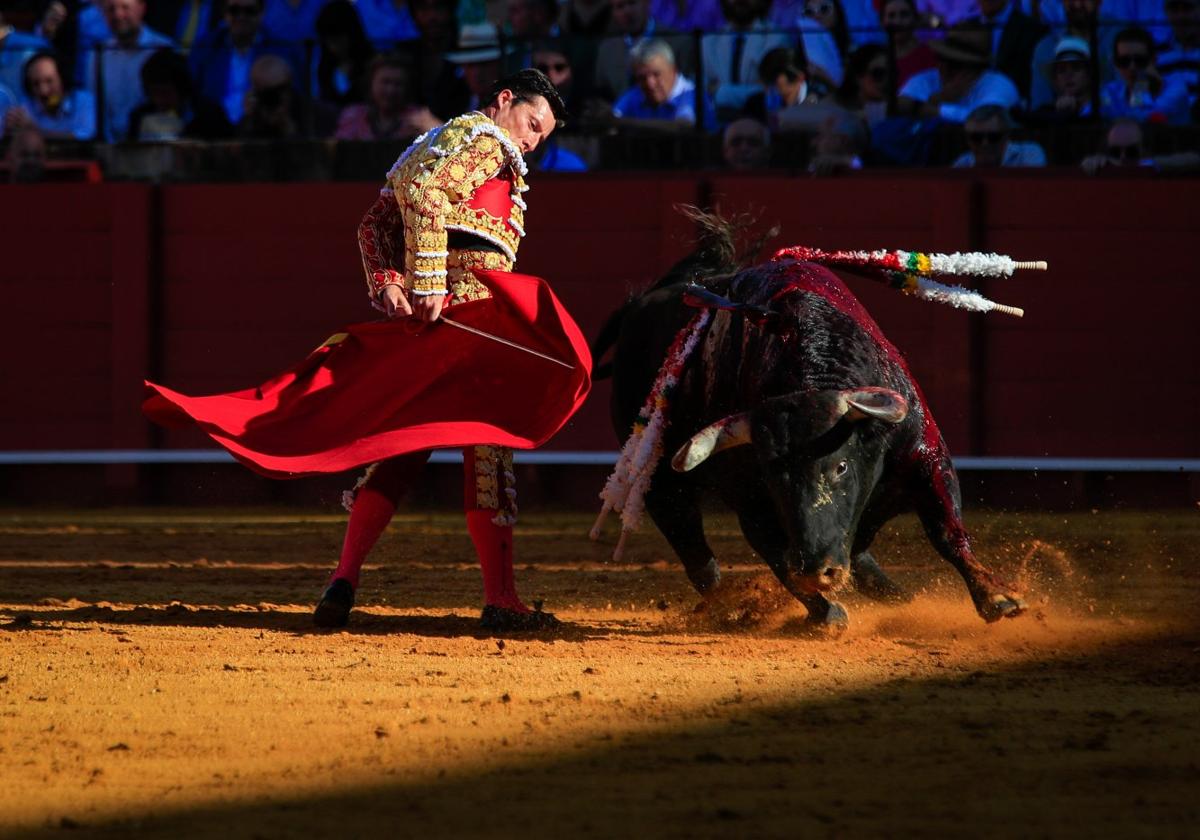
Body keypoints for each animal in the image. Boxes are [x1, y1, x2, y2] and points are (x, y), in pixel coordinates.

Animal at [597, 216, 1022, 628]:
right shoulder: (752, 504)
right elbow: (779, 559)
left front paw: (997, 599)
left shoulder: (925, 455)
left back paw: (899, 598)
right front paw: (826, 613)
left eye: (841, 466)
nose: (818, 570)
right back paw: (728, 608)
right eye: (772, 476)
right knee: (695, 552)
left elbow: (946, 530)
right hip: (661, 486)